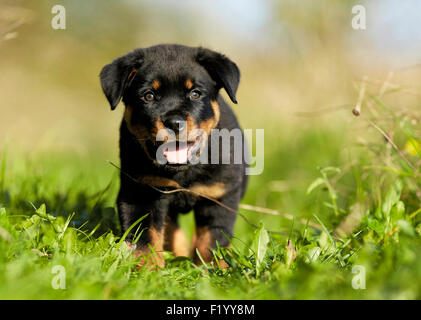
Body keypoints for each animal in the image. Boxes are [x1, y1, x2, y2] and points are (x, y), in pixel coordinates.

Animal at [100, 44, 248, 268]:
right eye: (149, 96)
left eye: (195, 93)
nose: (174, 122)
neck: (183, 172)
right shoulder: (141, 192)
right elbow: (145, 237)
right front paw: (148, 269)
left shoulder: (219, 196)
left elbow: (212, 240)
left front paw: (210, 269)